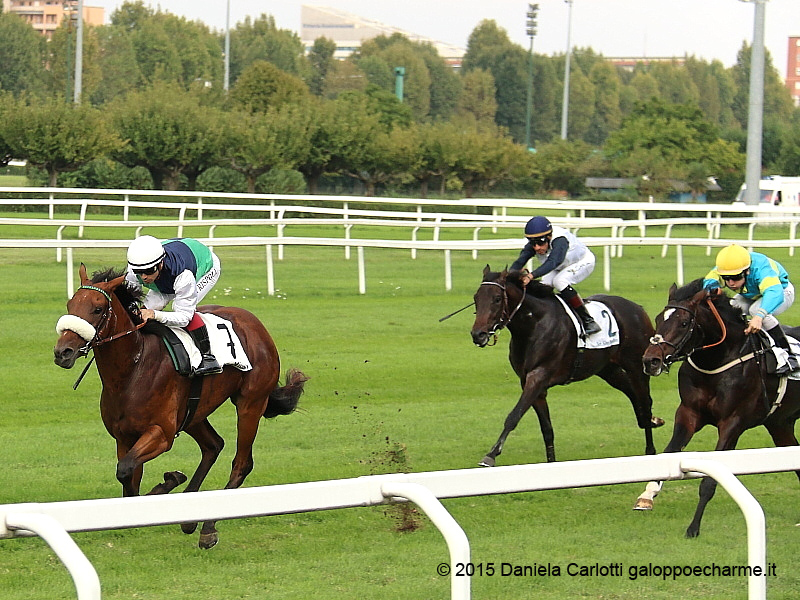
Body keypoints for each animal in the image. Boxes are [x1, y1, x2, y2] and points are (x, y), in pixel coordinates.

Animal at [53, 264, 308, 552]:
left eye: (97, 309)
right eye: (70, 304)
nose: (63, 352)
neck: (133, 370)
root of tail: (256, 324)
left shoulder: (161, 433)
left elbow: (126, 470)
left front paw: (170, 481)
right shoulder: (124, 437)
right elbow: (128, 481)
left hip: (250, 403)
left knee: (242, 463)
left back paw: (208, 528)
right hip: (193, 413)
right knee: (213, 445)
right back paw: (190, 518)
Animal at [468, 268, 664, 468]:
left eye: (497, 298)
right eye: (476, 297)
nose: (478, 334)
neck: (534, 325)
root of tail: (638, 308)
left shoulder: (538, 376)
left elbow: (514, 416)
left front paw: (490, 455)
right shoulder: (532, 384)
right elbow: (547, 430)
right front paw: (551, 462)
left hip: (637, 367)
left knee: (644, 401)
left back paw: (650, 448)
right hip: (608, 369)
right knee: (632, 393)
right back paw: (650, 421)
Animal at [640, 278, 800, 536]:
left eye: (684, 323)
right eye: (657, 319)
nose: (650, 361)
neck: (718, 361)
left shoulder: (732, 423)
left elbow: (710, 480)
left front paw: (693, 527)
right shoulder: (688, 413)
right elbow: (669, 453)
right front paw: (647, 494)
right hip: (780, 424)